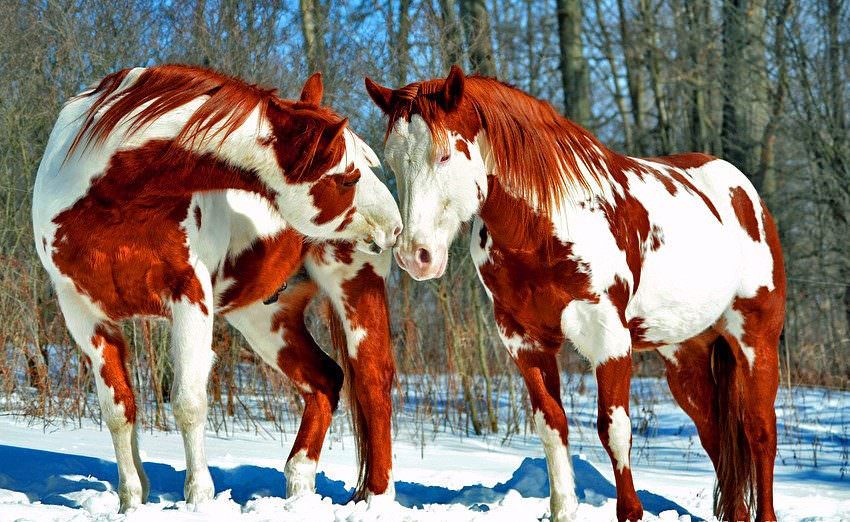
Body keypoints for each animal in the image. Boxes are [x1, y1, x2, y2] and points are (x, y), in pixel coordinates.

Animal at [32, 64, 401, 512]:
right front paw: (131, 502)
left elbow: (188, 403)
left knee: (373, 383)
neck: (112, 202)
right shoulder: (84, 315)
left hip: (355, 288)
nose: (396, 227)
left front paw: (199, 498)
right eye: (348, 178)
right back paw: (298, 487)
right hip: (265, 317)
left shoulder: (190, 297)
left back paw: (376, 499)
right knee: (324, 381)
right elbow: (119, 410)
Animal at [365, 66, 785, 522]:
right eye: (392, 161)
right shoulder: (525, 342)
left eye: (444, 155)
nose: (416, 255)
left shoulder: (609, 339)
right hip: (685, 357)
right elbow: (552, 425)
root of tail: (745, 194)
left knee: (760, 432)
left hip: (755, 341)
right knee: (717, 441)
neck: (543, 228)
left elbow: (614, 429)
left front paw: (630, 511)